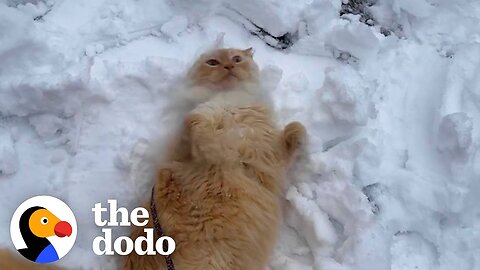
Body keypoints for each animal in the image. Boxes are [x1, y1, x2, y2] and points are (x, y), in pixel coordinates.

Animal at [124, 49, 304, 270]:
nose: (229, 66)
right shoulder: (193, 129)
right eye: (213, 62)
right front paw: (222, 149)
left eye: (237, 59)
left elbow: (295, 129)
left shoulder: (270, 154)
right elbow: (200, 129)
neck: (233, 101)